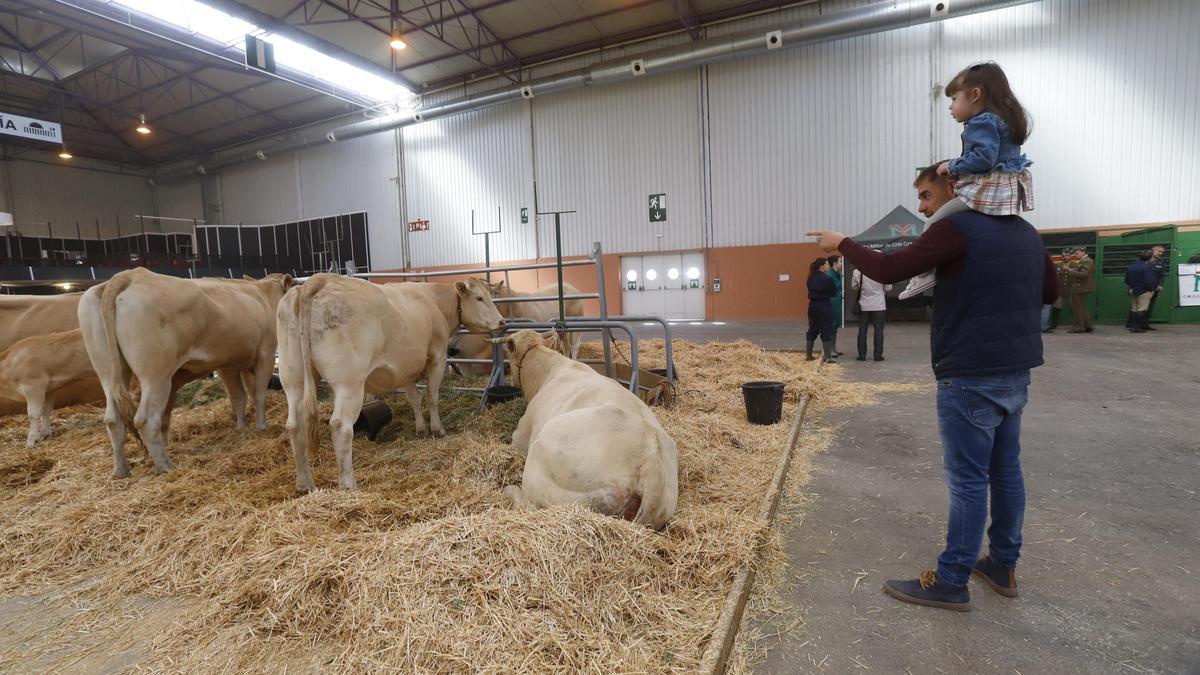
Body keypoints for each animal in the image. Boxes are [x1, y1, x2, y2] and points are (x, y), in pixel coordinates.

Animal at [80, 265, 295, 475]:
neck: (264, 295)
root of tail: (130, 275)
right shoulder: (266, 355)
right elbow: (258, 394)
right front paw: (262, 427)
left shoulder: (229, 364)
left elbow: (239, 397)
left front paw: (242, 428)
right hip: (156, 375)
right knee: (145, 419)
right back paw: (166, 467)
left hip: (108, 372)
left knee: (113, 419)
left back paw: (121, 470)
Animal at [278, 271, 504, 487]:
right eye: (480, 298)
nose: (502, 321)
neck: (435, 301)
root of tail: (317, 281)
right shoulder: (438, 358)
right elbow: (431, 396)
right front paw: (437, 428)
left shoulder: (406, 367)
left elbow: (414, 399)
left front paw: (420, 428)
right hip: (349, 384)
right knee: (340, 426)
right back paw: (348, 484)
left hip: (293, 379)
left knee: (294, 425)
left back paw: (305, 483)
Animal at [451, 277, 585, 372]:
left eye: (489, 295)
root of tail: (571, 287)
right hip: (562, 330)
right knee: (566, 345)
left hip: (576, 323)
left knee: (574, 345)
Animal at [494, 329, 676, 528]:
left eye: (509, 356)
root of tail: (650, 466)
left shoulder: (522, 434)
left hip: (543, 469)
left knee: (529, 503)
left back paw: (510, 491)